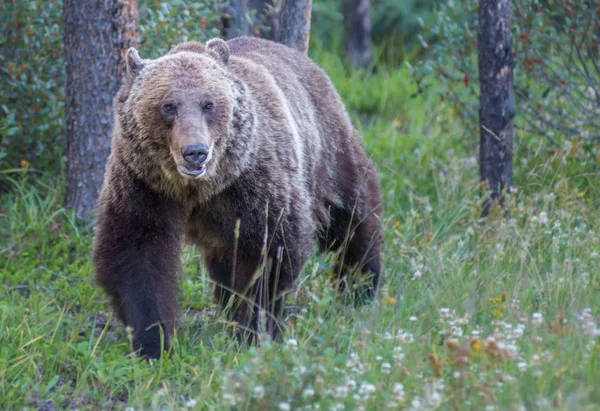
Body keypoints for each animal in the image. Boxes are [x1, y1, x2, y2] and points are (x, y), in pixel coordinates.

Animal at [92, 37, 384, 358]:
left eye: (209, 104)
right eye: (168, 106)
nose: (195, 152)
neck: (198, 188)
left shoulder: (254, 181)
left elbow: (268, 251)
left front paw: (252, 332)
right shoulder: (144, 183)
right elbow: (136, 252)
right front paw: (154, 342)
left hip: (326, 149)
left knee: (351, 215)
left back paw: (361, 285)